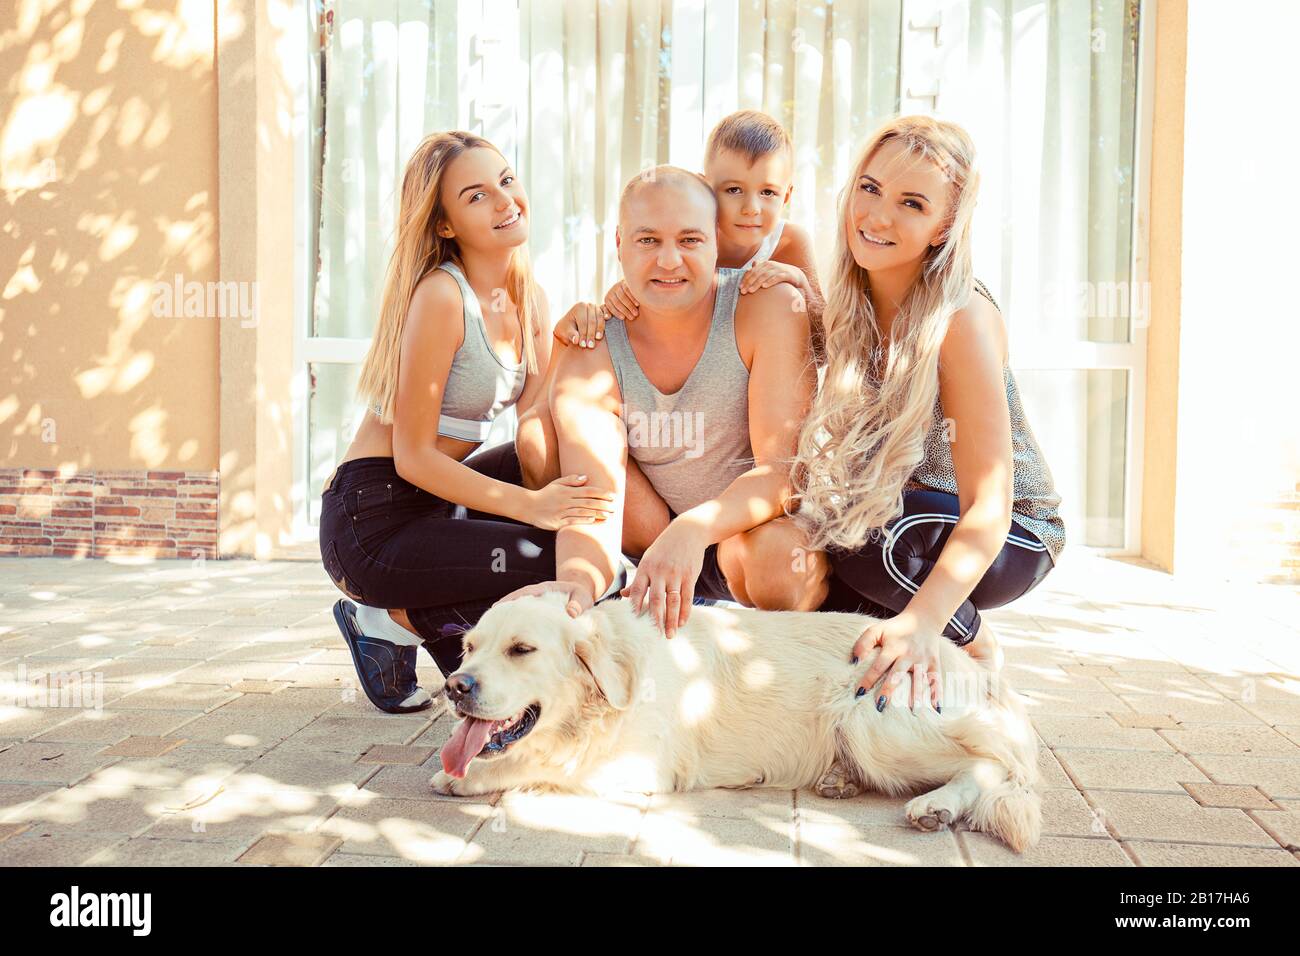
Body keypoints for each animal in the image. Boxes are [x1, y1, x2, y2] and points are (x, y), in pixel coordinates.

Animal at [431, 590, 1040, 853]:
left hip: (871, 717)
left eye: (522, 650)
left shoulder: (637, 766)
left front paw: (464, 776)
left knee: (998, 762)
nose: (454, 686)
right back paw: (840, 779)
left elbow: (539, 765)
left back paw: (936, 804)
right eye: (468, 648)